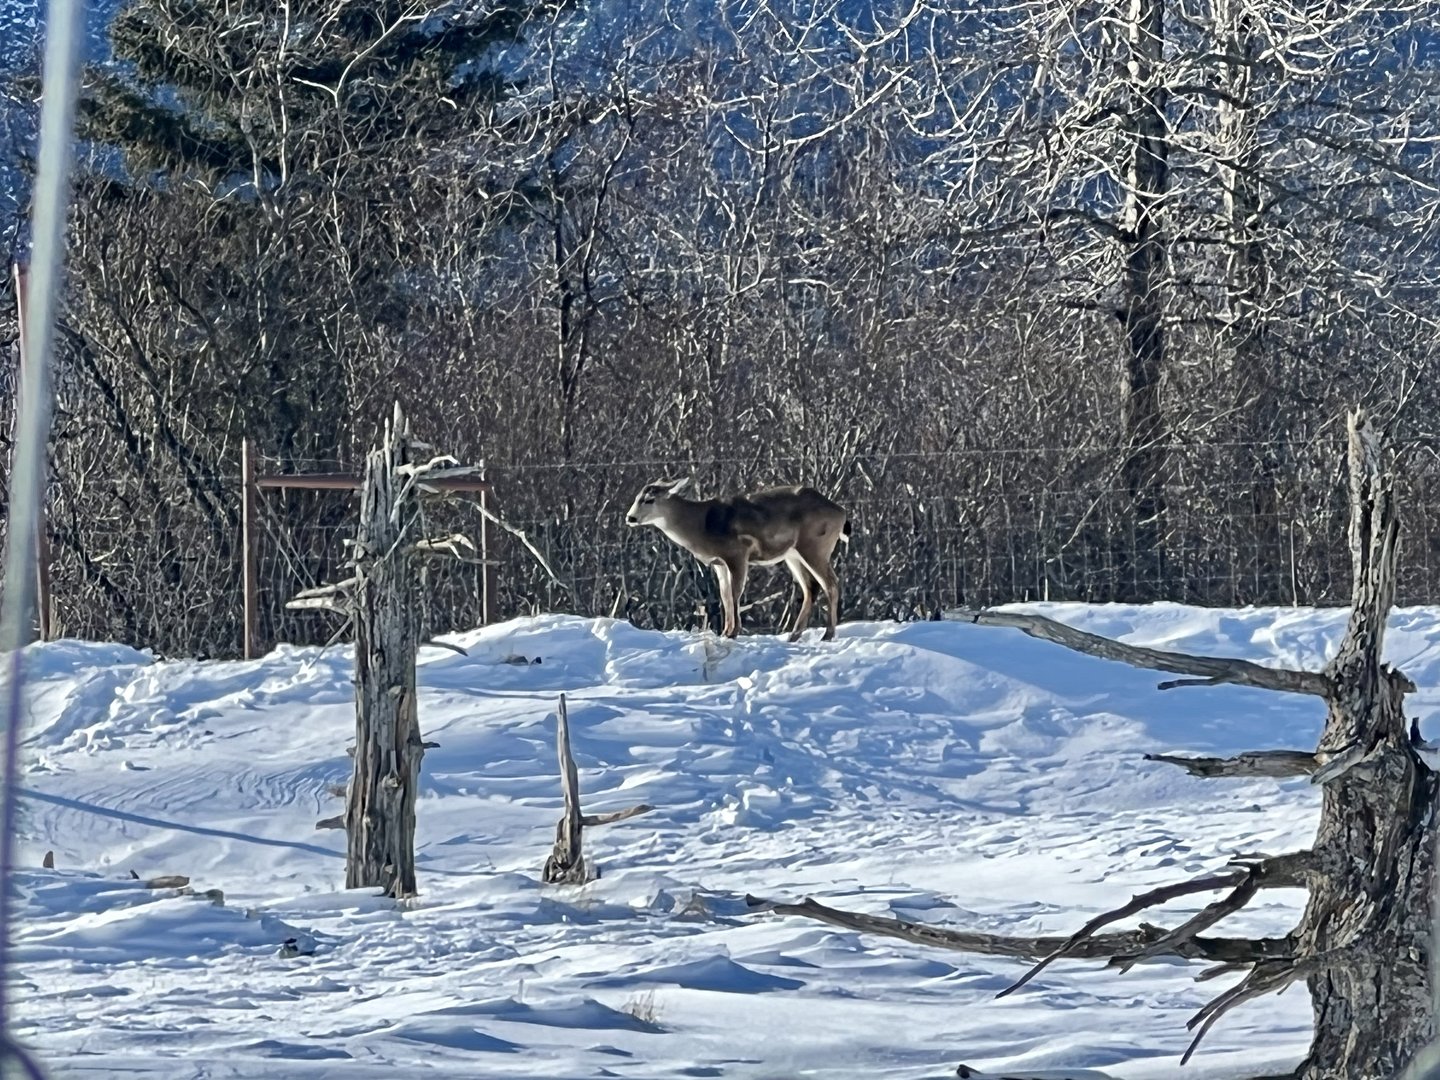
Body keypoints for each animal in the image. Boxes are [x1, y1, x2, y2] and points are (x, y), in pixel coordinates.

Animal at [625, 477, 852, 642]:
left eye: (650, 499)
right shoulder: (719, 563)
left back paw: (828, 635)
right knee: (811, 587)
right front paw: (725, 632)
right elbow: (725, 595)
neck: (701, 525)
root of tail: (841, 512)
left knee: (830, 583)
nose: (630, 517)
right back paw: (794, 636)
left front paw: (734, 632)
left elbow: (734, 594)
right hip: (793, 554)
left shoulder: (737, 553)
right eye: (636, 497)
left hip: (815, 546)